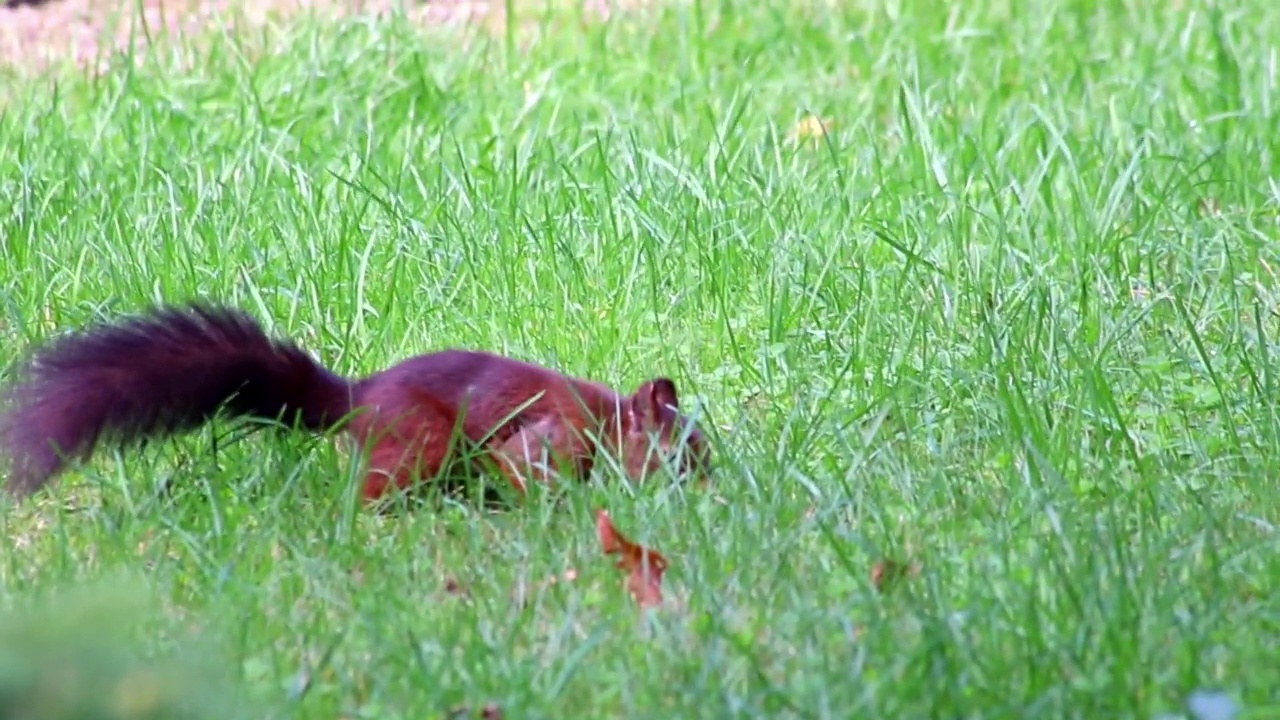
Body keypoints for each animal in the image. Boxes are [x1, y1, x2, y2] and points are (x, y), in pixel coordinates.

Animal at [0, 303, 711, 504]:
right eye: (682, 453)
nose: (710, 485)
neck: (609, 422)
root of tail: (357, 399)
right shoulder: (555, 434)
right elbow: (526, 471)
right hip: (422, 440)